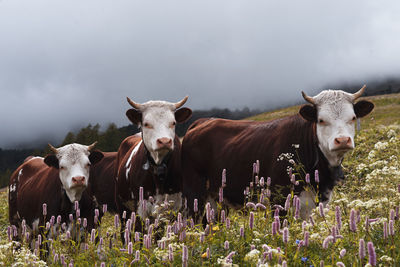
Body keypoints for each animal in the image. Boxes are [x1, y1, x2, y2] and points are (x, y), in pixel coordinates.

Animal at [114, 97, 192, 229]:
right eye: (146, 124)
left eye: (173, 123)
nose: (164, 141)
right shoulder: (141, 208)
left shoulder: (178, 206)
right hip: (122, 206)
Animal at [181, 86, 376, 220]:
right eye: (321, 120)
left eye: (352, 118)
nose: (342, 140)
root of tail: (203, 121)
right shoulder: (279, 200)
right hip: (194, 194)